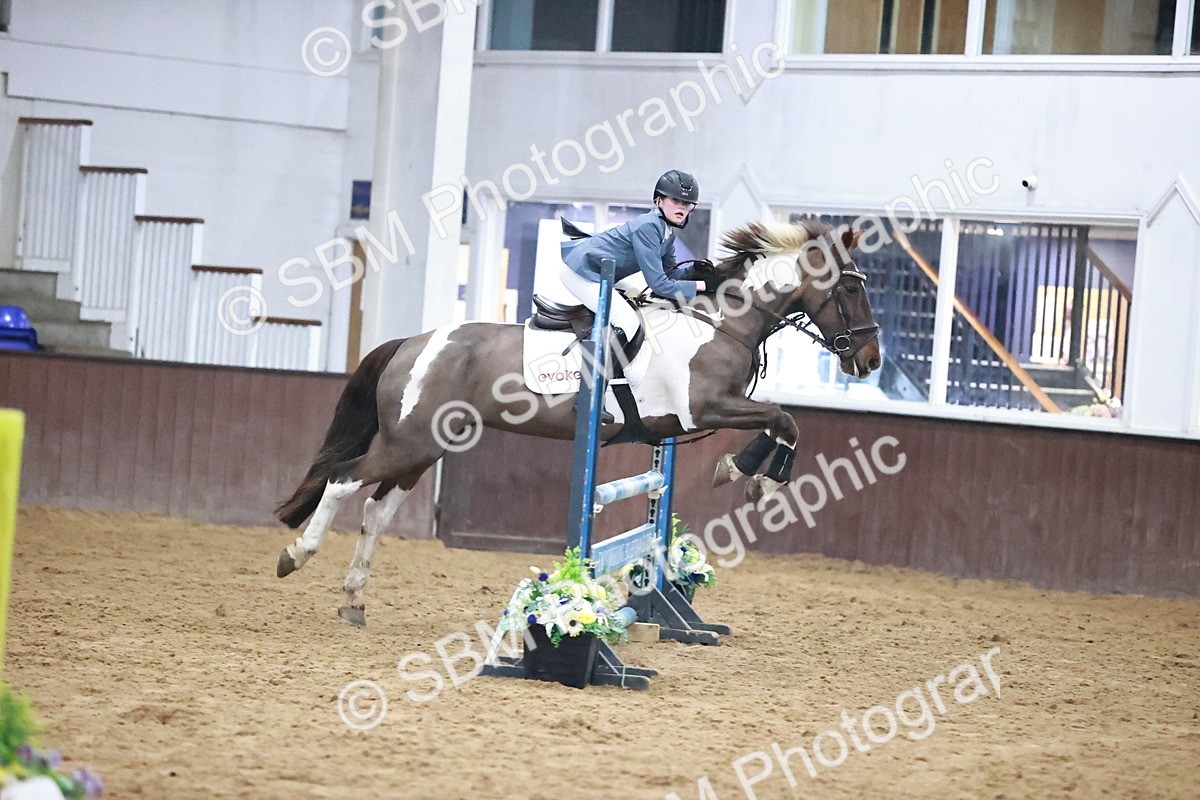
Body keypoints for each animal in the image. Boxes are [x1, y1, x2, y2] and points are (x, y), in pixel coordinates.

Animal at [274, 218, 882, 626]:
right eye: (852, 288)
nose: (871, 361)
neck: (719, 324)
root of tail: (411, 342)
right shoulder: (704, 408)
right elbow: (785, 419)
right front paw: (748, 473)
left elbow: (783, 419)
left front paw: (751, 475)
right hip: (407, 444)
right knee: (343, 480)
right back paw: (296, 556)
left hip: (424, 449)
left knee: (376, 511)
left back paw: (354, 599)